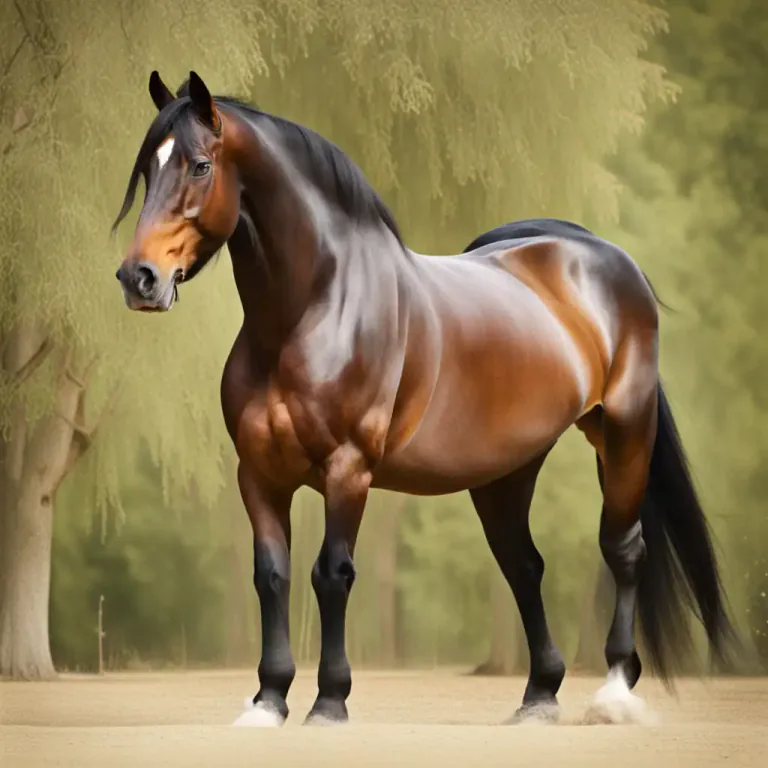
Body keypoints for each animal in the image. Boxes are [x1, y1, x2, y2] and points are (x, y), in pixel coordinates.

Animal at [113, 70, 737, 726]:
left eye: (201, 165)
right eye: (148, 170)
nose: (139, 278)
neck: (311, 311)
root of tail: (604, 257)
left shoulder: (348, 468)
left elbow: (331, 574)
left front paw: (330, 702)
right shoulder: (258, 472)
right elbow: (272, 576)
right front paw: (268, 701)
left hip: (623, 433)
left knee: (623, 550)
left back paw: (614, 691)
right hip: (506, 473)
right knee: (524, 567)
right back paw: (539, 696)